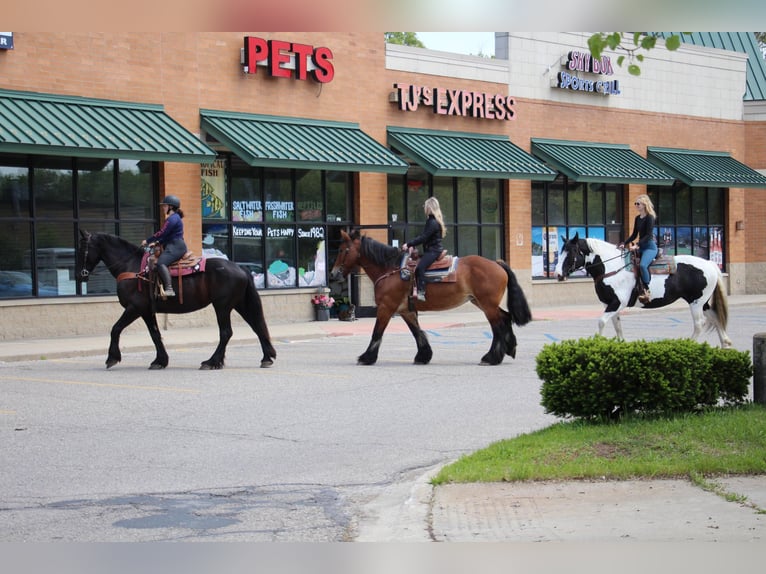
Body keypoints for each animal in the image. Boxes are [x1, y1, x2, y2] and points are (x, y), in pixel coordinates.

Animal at [75, 231, 278, 372]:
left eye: (82, 248)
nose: (79, 276)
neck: (132, 268)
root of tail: (241, 268)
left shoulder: (135, 308)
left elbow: (116, 328)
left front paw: (112, 358)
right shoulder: (146, 311)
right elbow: (155, 335)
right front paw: (160, 361)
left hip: (222, 306)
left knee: (226, 332)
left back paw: (211, 362)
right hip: (238, 304)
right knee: (257, 326)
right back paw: (266, 358)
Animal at [330, 228, 536, 364]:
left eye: (342, 250)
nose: (333, 275)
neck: (391, 269)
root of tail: (497, 263)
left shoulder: (386, 308)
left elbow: (377, 332)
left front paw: (367, 357)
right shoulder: (405, 310)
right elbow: (417, 332)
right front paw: (423, 356)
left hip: (487, 305)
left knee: (498, 327)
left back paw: (491, 357)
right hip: (481, 302)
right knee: (505, 318)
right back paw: (509, 348)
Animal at [556, 232, 736, 348]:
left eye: (572, 251)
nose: (558, 274)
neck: (612, 267)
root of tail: (710, 263)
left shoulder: (617, 303)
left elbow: (601, 322)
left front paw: (595, 344)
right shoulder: (611, 304)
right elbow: (617, 325)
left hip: (696, 302)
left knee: (699, 324)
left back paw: (689, 344)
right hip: (702, 302)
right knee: (715, 316)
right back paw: (725, 343)